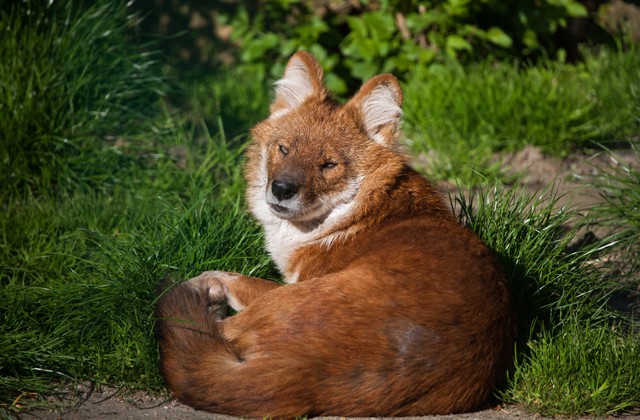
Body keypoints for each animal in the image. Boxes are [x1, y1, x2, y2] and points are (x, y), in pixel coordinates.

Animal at [154, 49, 516, 416]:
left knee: (213, 329)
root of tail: (309, 374)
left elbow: (227, 277)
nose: (282, 188)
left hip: (291, 299)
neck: (357, 215)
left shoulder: (291, 282)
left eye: (328, 165)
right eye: (284, 149)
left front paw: (200, 285)